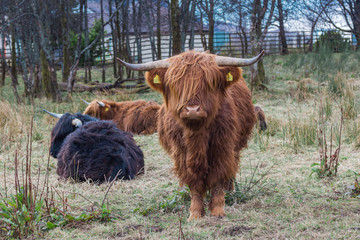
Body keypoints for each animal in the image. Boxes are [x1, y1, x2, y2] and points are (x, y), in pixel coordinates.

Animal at [118, 50, 264, 219]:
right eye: (176, 84)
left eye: (209, 82)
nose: (192, 110)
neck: (197, 135)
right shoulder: (182, 153)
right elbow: (193, 182)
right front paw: (195, 213)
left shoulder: (222, 149)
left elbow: (218, 178)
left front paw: (217, 211)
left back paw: (230, 189)